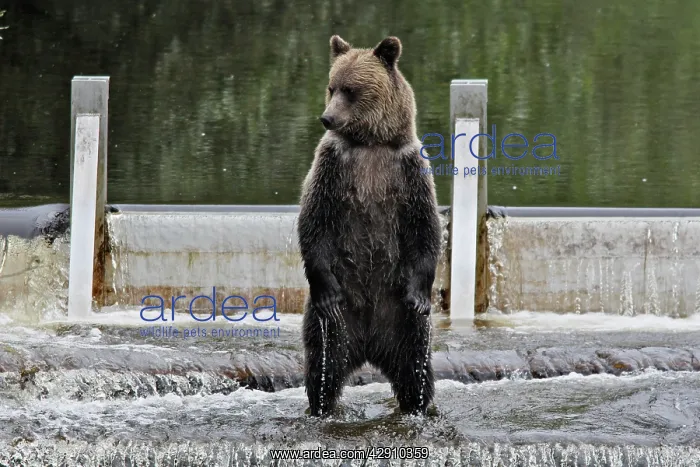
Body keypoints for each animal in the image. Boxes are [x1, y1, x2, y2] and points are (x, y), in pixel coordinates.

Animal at [297, 35, 442, 417]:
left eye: (350, 90)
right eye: (331, 87)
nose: (327, 117)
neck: (372, 143)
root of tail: (368, 346)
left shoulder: (408, 168)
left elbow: (426, 225)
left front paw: (422, 293)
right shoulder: (333, 165)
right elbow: (313, 219)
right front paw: (326, 289)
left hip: (401, 318)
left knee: (415, 367)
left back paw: (417, 405)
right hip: (337, 321)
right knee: (323, 364)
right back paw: (321, 404)